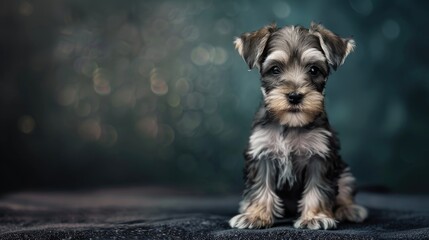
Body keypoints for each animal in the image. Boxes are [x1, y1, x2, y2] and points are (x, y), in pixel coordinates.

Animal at [229, 23, 366, 231]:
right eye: (275, 69)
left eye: (314, 70)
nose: (294, 96)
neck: (290, 123)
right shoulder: (262, 154)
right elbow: (260, 187)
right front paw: (255, 216)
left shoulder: (320, 155)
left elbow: (317, 189)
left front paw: (315, 217)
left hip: (344, 173)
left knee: (344, 190)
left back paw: (349, 209)